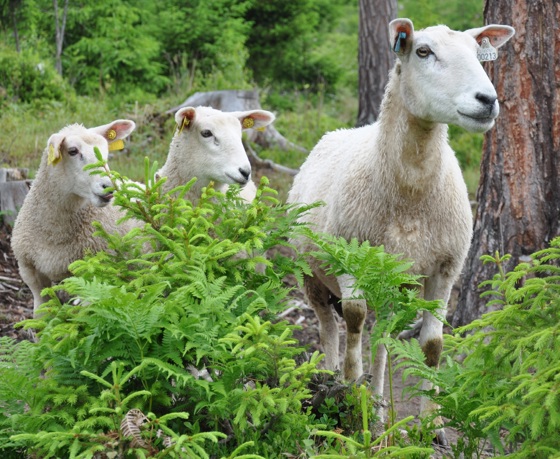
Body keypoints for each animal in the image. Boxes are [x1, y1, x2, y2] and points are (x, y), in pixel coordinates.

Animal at [12, 118, 137, 314]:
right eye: (72, 151)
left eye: (106, 152)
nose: (109, 187)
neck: (54, 233)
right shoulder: (29, 270)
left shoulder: (94, 272)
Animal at [286, 18, 516, 442]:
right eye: (423, 51)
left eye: (478, 55)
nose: (488, 100)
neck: (410, 197)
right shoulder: (352, 259)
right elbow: (354, 322)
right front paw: (352, 402)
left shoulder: (446, 268)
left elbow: (434, 345)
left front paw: (431, 425)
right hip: (311, 274)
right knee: (329, 328)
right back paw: (332, 382)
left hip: (397, 282)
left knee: (383, 334)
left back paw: (379, 407)